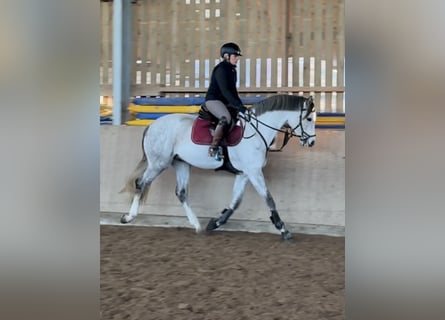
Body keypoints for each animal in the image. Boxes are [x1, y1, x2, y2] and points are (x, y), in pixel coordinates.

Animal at [119, 95, 316, 240]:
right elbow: (269, 199)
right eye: (308, 118)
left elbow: (236, 202)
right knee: (140, 183)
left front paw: (216, 222)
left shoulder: (244, 174)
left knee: (181, 192)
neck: (256, 132)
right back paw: (128, 217)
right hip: (158, 163)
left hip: (181, 163)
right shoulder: (254, 172)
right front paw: (283, 229)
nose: (312, 142)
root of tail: (152, 125)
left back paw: (197, 225)